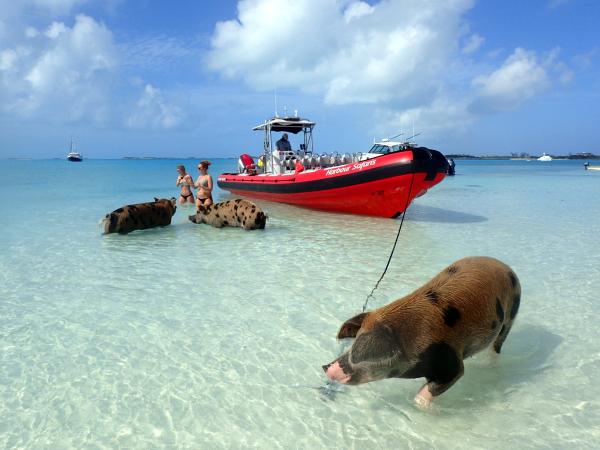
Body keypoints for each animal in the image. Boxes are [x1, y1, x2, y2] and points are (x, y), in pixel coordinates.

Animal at [324, 256, 520, 408]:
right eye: (356, 340)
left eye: (371, 354)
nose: (327, 367)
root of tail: (507, 267)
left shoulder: (452, 362)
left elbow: (438, 384)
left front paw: (418, 406)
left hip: (511, 314)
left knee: (498, 344)